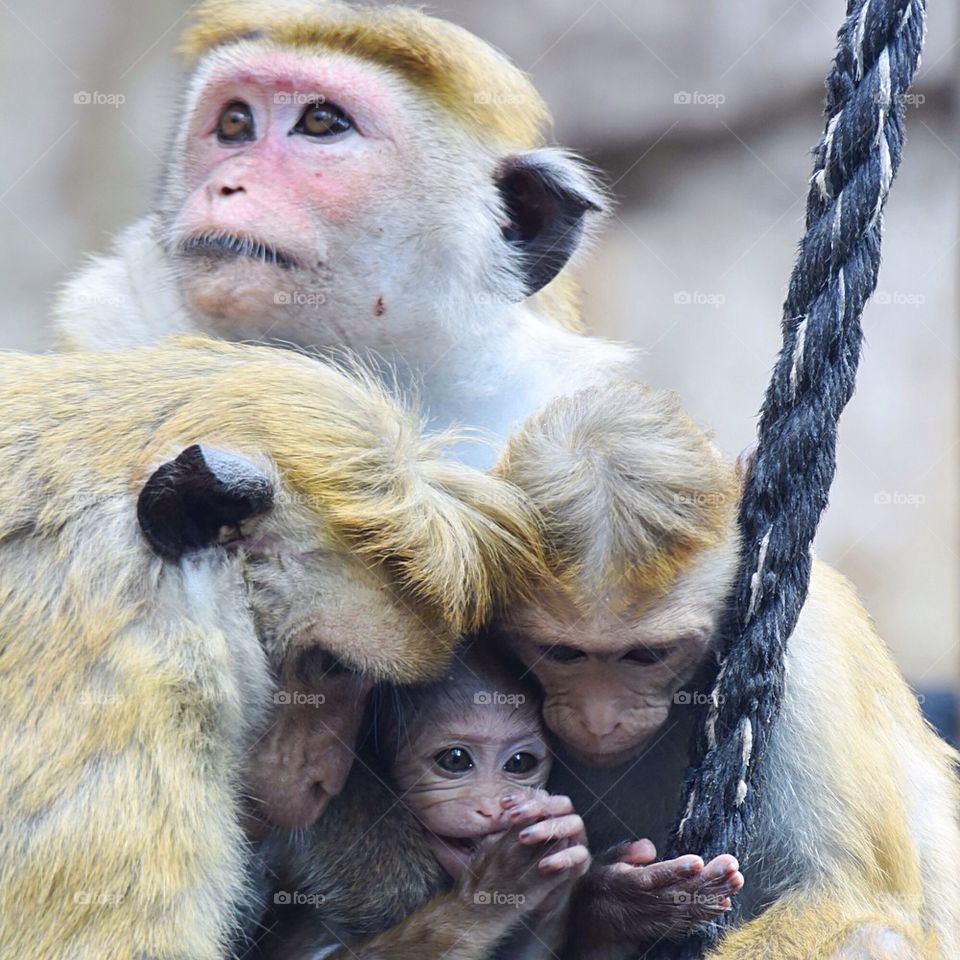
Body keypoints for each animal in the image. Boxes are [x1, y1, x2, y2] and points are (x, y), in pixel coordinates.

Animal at [489, 379, 960, 959]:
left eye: (647, 656)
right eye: (562, 652)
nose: (600, 719)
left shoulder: (806, 658)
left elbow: (850, 894)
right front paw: (616, 909)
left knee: (872, 935)